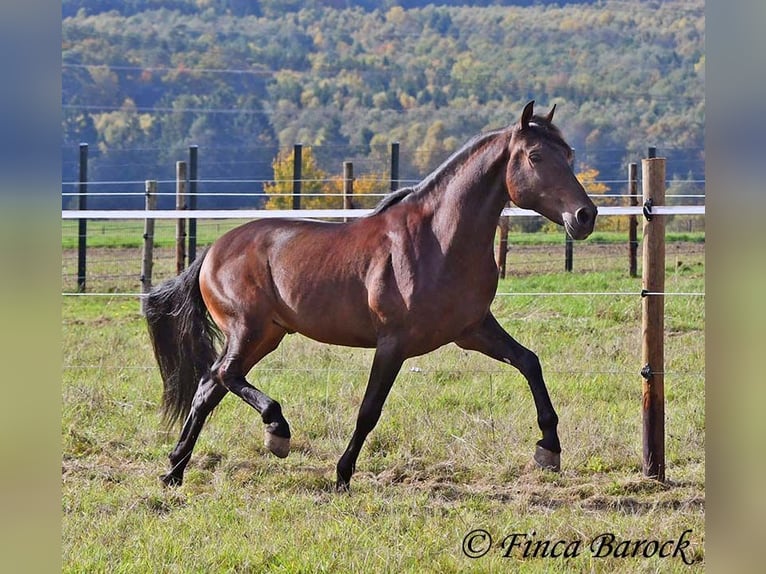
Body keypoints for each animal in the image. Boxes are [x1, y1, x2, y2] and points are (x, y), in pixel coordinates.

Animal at [145, 101, 597, 491]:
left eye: (568, 154)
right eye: (535, 156)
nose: (585, 216)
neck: (439, 241)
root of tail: (211, 251)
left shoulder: (473, 330)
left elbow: (529, 362)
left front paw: (549, 450)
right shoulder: (393, 343)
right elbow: (369, 410)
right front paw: (342, 475)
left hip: (267, 334)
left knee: (209, 386)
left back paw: (175, 471)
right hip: (248, 329)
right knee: (224, 375)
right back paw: (277, 433)